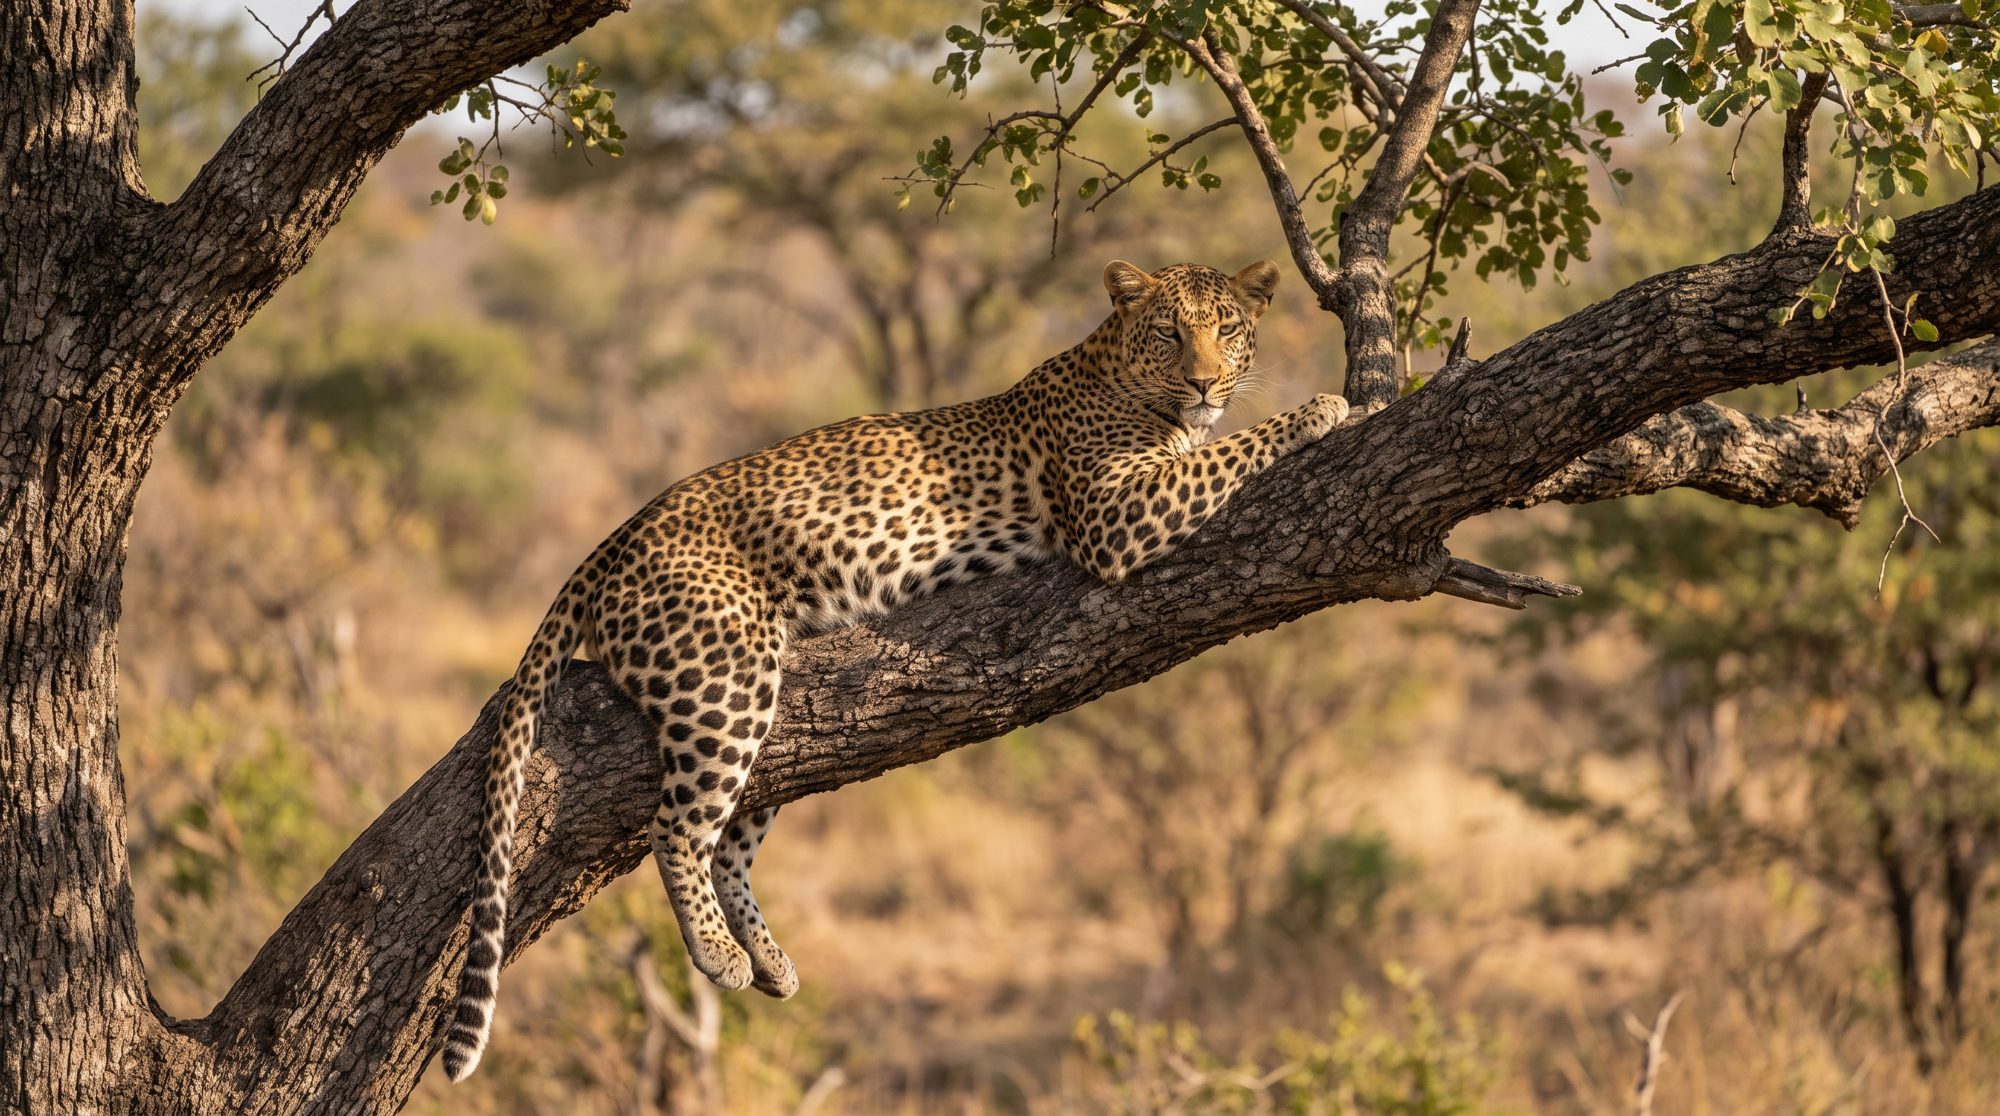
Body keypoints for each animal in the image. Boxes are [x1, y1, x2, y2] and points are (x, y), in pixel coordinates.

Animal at [441, 258, 1350, 1081]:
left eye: (1226, 328)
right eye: (1169, 332)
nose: (1203, 381)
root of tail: (613, 539)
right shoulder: (1114, 511)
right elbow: (1230, 451)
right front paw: (1326, 405)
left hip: (773, 714)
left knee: (730, 842)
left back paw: (771, 961)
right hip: (727, 671)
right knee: (678, 828)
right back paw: (719, 955)